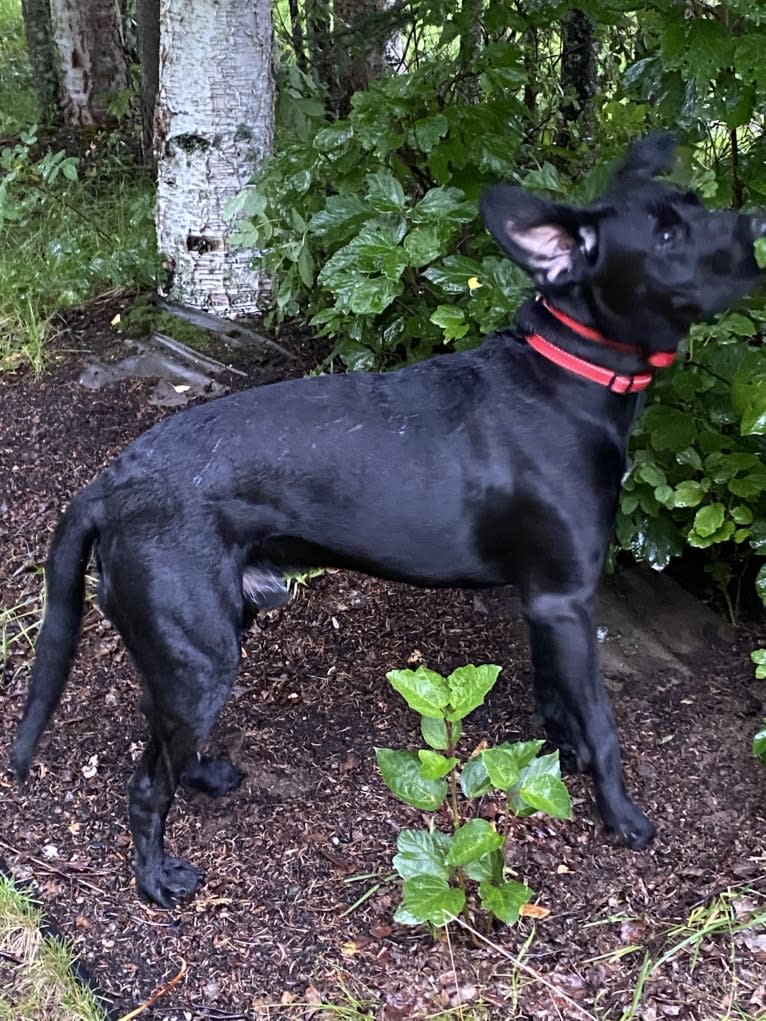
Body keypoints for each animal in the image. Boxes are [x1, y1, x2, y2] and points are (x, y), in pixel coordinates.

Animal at [13, 133, 766, 902]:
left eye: (694, 205)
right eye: (666, 235)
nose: (757, 225)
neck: (568, 376)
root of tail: (112, 480)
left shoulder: (547, 602)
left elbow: (557, 699)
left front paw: (563, 758)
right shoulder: (568, 598)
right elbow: (605, 724)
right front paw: (620, 813)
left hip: (196, 643)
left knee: (165, 736)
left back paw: (205, 774)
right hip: (201, 655)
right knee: (144, 785)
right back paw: (156, 879)